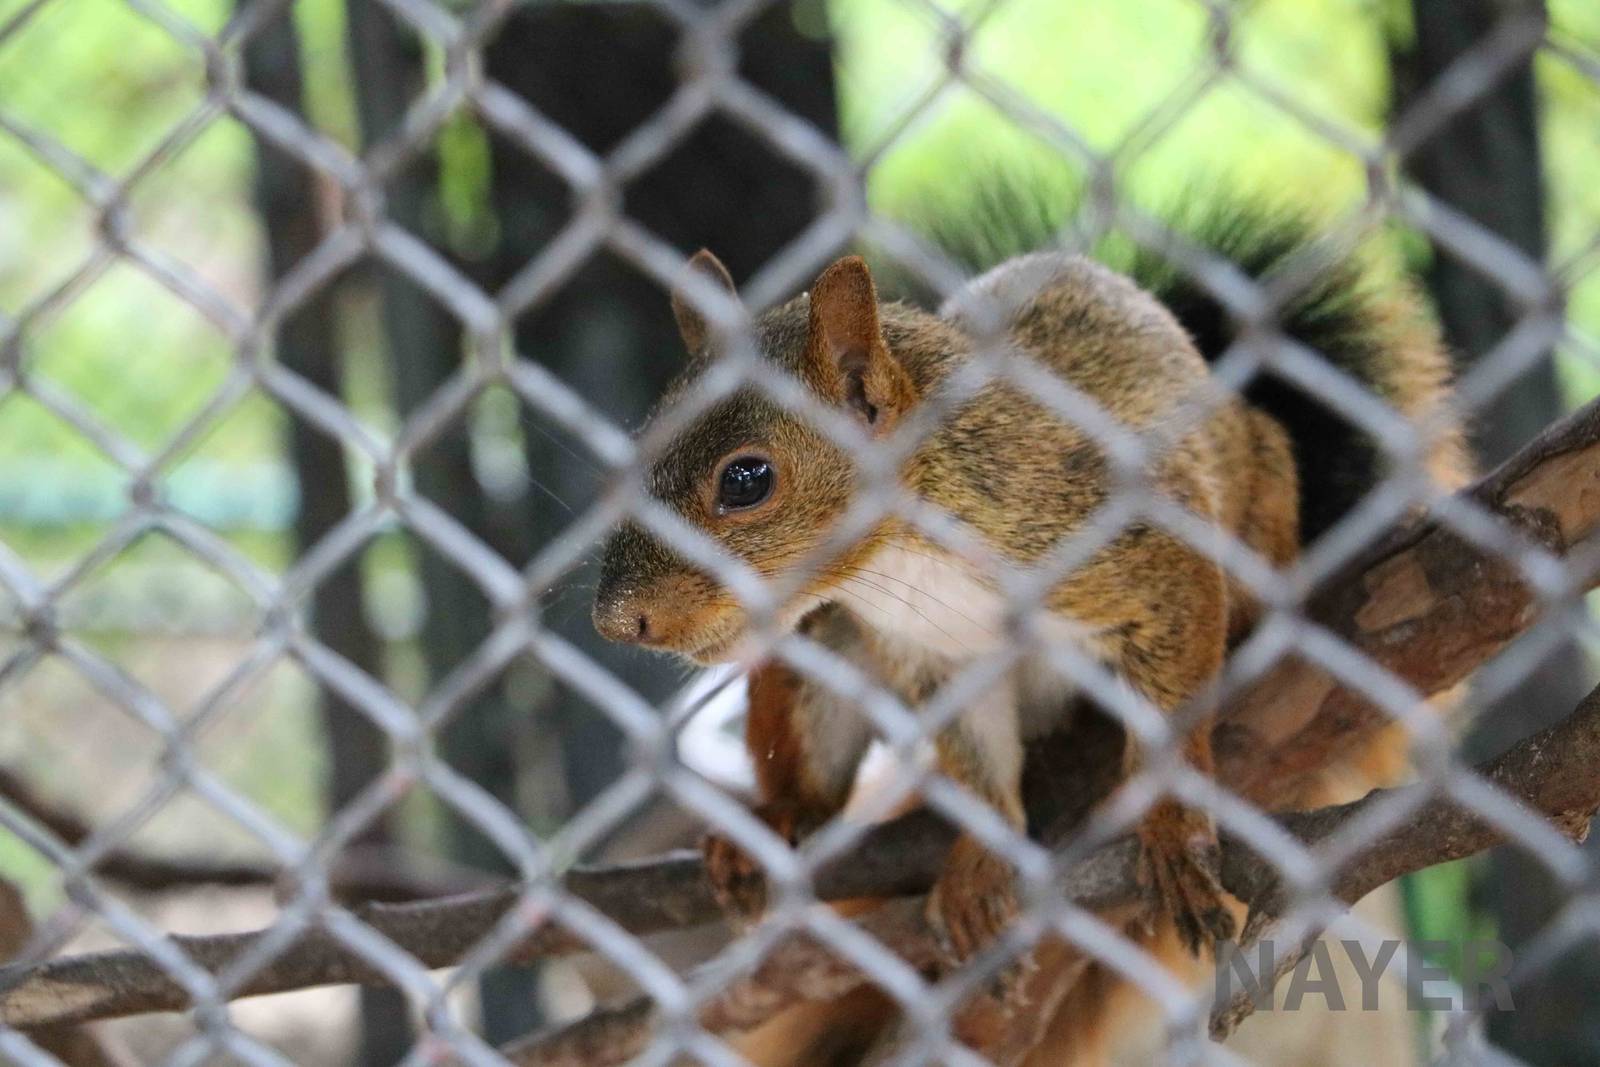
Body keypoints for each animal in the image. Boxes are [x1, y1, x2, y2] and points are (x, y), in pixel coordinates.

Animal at [591, 186, 1467, 1058]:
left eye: (747, 478)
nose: (616, 620)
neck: (902, 558)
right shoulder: (937, 654)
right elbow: (976, 757)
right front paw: (982, 863)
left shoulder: (1140, 540)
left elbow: (1171, 703)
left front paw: (1172, 824)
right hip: (819, 642)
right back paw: (777, 818)